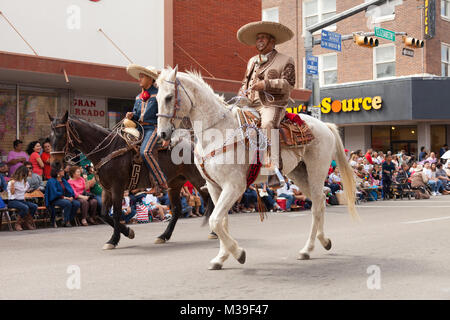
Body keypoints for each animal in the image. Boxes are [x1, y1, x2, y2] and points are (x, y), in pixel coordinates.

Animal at [48, 111, 211, 249]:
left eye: (61, 135)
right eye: (49, 137)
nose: (55, 164)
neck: (108, 150)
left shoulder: (117, 187)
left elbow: (116, 214)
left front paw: (114, 240)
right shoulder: (107, 190)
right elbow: (104, 214)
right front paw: (128, 232)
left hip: (198, 180)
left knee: (211, 200)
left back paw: (213, 232)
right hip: (174, 184)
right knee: (178, 210)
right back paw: (164, 236)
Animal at [156, 67, 356, 270]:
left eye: (169, 97)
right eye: (156, 97)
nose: (162, 134)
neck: (217, 133)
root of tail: (325, 126)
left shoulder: (234, 186)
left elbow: (215, 220)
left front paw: (238, 253)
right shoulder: (214, 187)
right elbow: (221, 221)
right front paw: (221, 258)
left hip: (316, 171)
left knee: (316, 205)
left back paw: (308, 248)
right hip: (299, 174)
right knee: (320, 200)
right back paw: (322, 242)